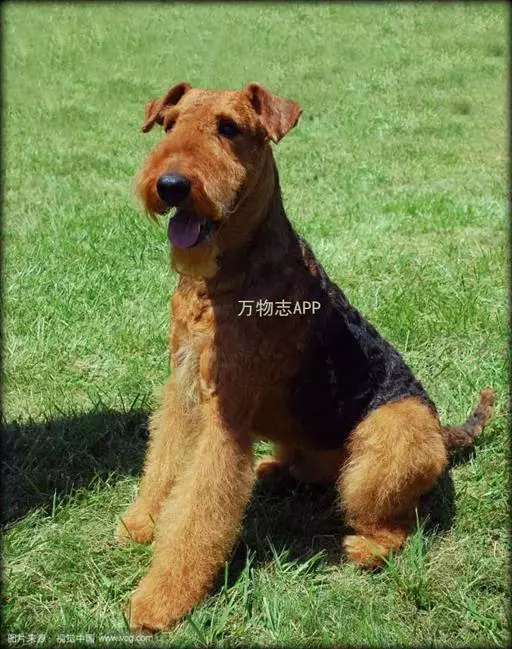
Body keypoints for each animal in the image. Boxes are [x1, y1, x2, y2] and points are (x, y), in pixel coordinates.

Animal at [117, 82, 495, 632]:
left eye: (228, 128)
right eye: (169, 124)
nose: (170, 186)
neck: (224, 279)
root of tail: (443, 435)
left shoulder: (224, 419)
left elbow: (196, 513)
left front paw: (160, 599)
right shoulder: (183, 389)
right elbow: (163, 465)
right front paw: (140, 523)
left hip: (385, 442)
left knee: (401, 521)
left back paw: (365, 548)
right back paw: (273, 469)